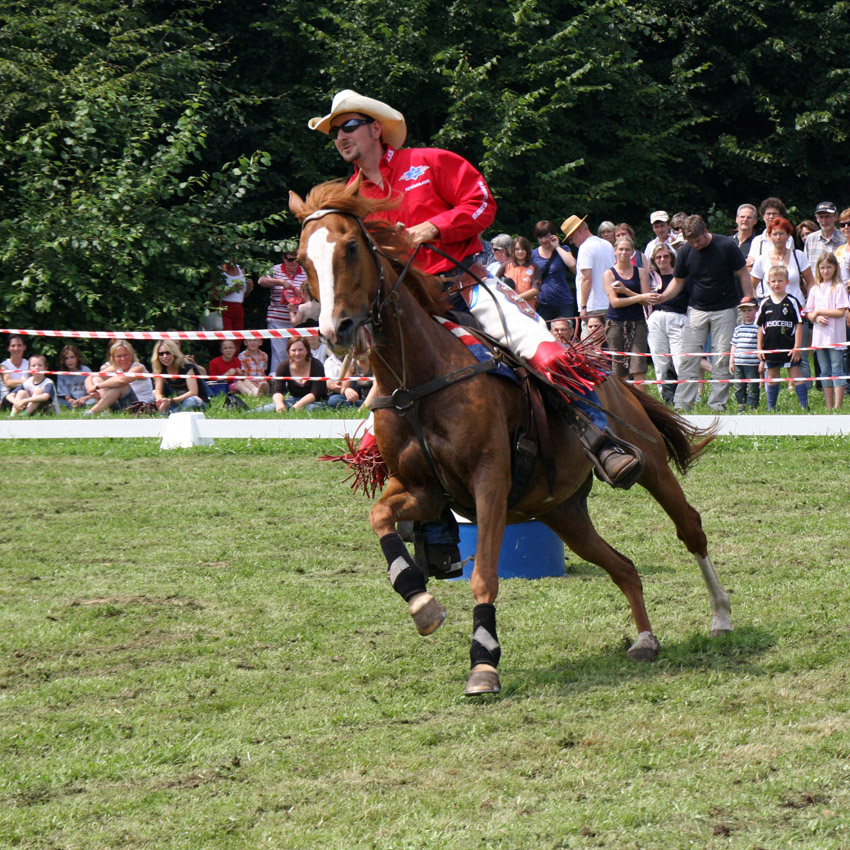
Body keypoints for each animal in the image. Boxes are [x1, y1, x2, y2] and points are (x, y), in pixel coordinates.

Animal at [292, 181, 728, 696]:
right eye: (302, 259)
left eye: (351, 247)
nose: (334, 329)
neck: (416, 380)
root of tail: (612, 379)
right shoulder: (423, 490)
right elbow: (380, 517)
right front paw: (421, 602)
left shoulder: (490, 484)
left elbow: (484, 575)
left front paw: (483, 662)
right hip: (564, 513)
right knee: (622, 566)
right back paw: (644, 639)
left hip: (653, 468)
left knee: (690, 528)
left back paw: (720, 616)